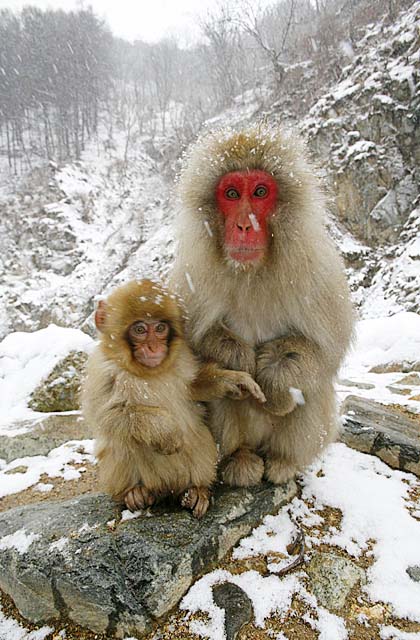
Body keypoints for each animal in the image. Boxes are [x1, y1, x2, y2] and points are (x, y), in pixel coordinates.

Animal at [82, 282, 266, 520]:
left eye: (160, 328)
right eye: (140, 330)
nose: (154, 347)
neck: (149, 372)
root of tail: (165, 490)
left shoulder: (183, 360)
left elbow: (194, 388)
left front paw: (235, 381)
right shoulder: (102, 372)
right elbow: (107, 415)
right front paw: (166, 432)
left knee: (197, 435)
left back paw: (197, 490)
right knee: (123, 438)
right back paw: (134, 493)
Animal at [171, 124, 354, 484]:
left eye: (259, 192)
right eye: (231, 194)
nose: (244, 225)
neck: (252, 273)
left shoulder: (319, 270)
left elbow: (327, 350)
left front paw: (274, 375)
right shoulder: (191, 274)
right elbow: (190, 351)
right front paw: (237, 355)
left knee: (313, 386)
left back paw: (283, 461)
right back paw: (240, 458)